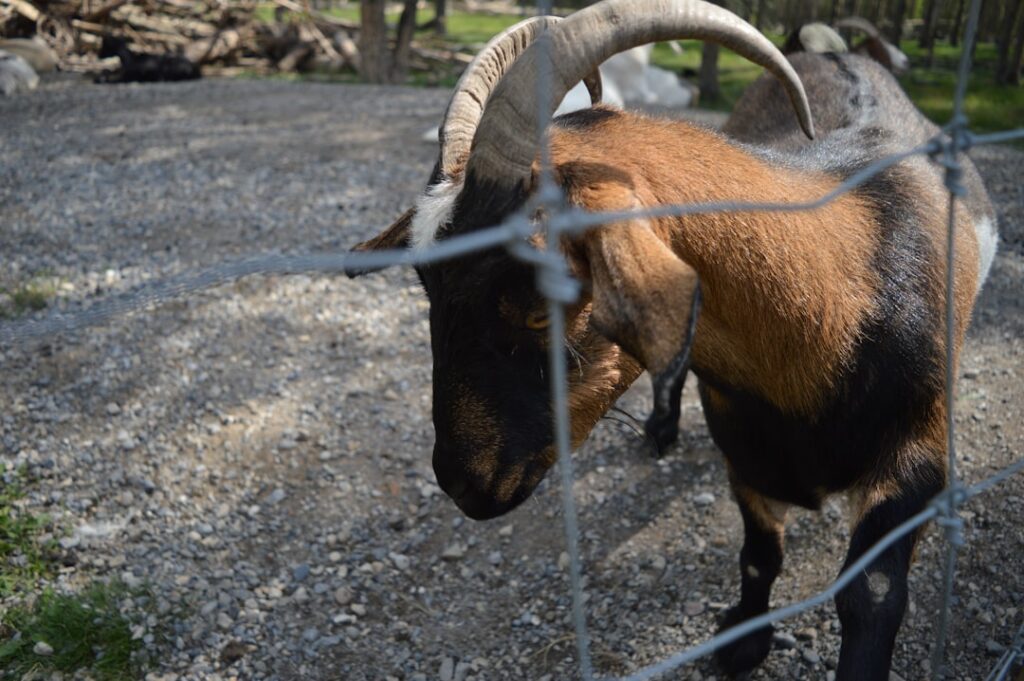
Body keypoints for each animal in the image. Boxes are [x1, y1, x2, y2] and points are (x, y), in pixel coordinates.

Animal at [347, 0, 996, 678]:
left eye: (538, 306)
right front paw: (743, 641)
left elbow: (872, 594)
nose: (460, 482)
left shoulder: (921, 450)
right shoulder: (744, 451)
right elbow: (759, 555)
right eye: (425, 283)